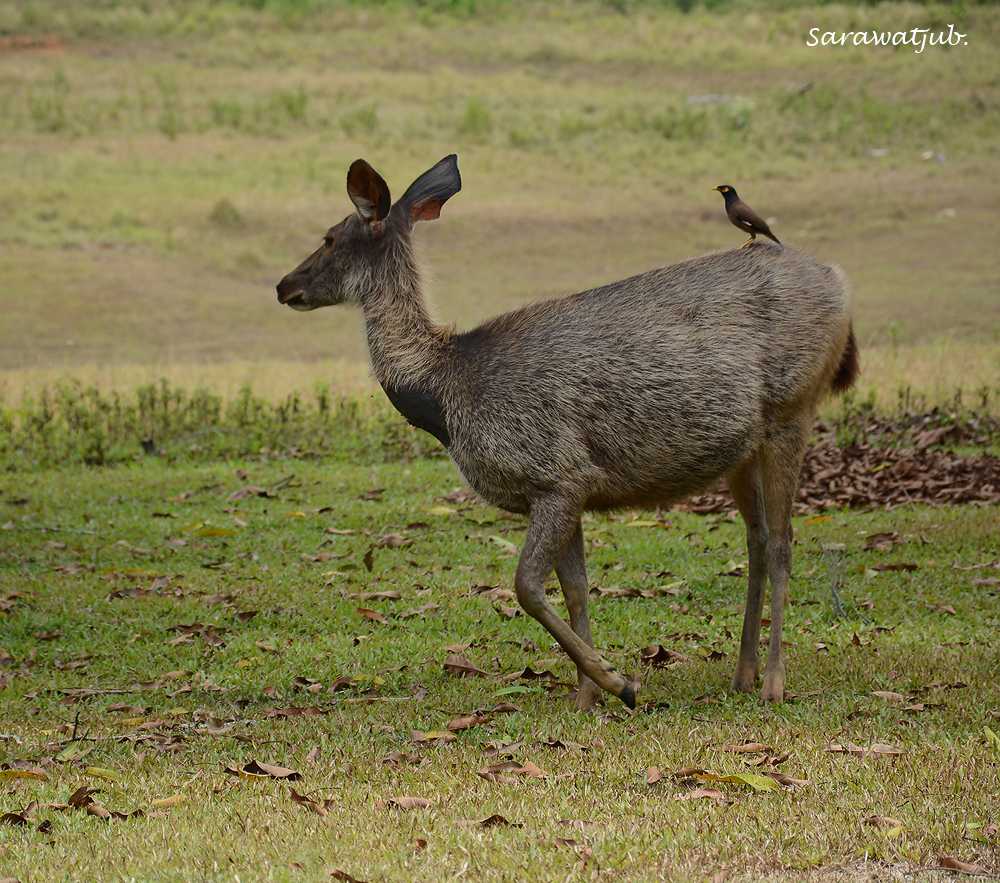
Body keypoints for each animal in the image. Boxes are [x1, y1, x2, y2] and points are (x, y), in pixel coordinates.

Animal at [276, 157, 860, 712]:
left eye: (330, 236)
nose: (284, 285)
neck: (445, 394)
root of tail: (841, 284)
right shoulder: (559, 487)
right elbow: (576, 588)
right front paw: (586, 697)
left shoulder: (556, 469)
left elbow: (526, 587)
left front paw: (620, 683)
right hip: (743, 448)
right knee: (757, 539)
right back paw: (741, 675)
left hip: (793, 408)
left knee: (782, 541)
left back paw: (773, 684)